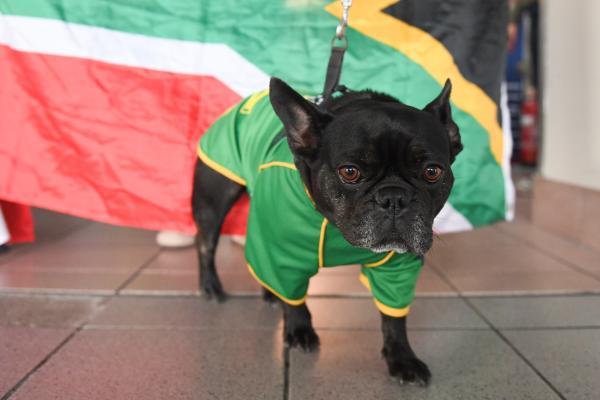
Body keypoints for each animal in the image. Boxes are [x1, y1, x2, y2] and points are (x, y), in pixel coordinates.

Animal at [190, 78, 462, 384]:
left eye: (432, 172)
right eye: (350, 172)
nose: (394, 198)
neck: (334, 228)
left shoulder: (398, 266)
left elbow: (394, 315)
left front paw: (402, 357)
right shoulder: (283, 255)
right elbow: (294, 298)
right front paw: (299, 330)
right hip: (214, 199)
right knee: (206, 243)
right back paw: (211, 287)